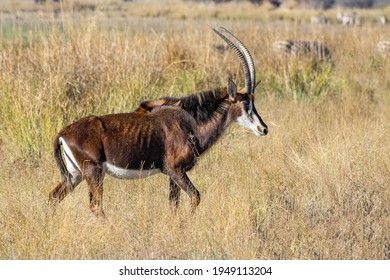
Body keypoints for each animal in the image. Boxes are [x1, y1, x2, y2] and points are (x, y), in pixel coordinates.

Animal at [48, 26, 268, 218]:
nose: (263, 129)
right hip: (93, 172)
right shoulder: (175, 170)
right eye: (245, 103)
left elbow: (173, 204)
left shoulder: (173, 176)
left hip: (75, 174)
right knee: (95, 206)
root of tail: (63, 134)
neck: (191, 122)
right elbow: (195, 197)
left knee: (54, 197)